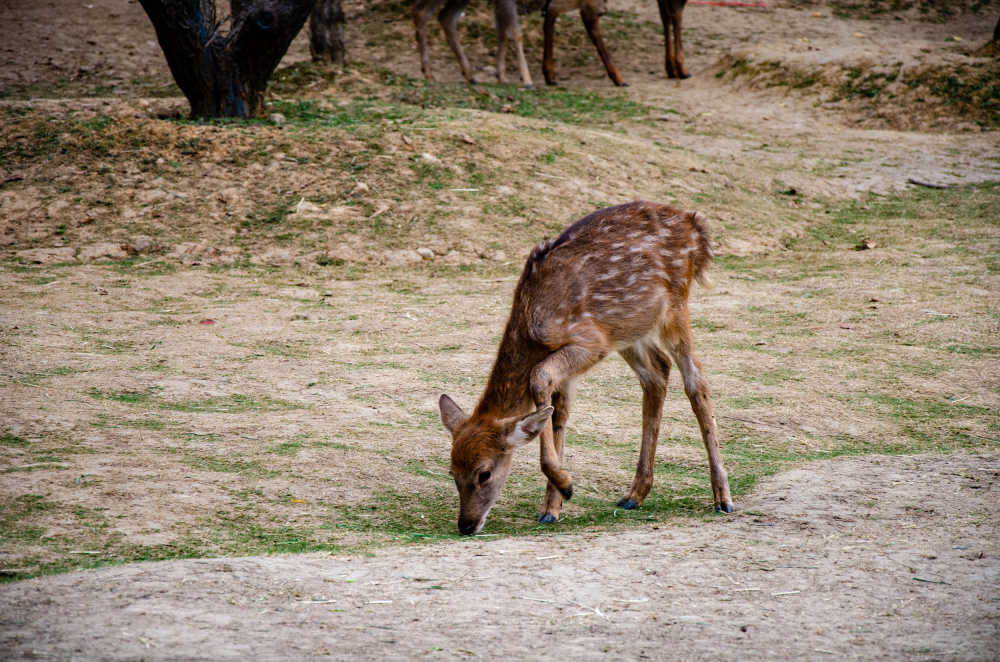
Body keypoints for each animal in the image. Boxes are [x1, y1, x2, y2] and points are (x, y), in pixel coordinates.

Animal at [413, 0, 691, 89]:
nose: (606, 10)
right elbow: (514, 32)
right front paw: (527, 79)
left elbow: (505, 31)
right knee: (425, 14)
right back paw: (428, 71)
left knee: (443, 17)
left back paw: (466, 74)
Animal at [439, 200, 733, 535]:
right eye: (452, 471)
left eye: (484, 472)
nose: (466, 524)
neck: (534, 325)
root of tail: (696, 227)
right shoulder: (572, 363)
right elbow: (557, 413)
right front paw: (552, 506)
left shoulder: (590, 342)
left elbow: (537, 378)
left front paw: (566, 486)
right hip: (629, 328)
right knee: (657, 371)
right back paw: (634, 494)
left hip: (674, 305)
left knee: (696, 380)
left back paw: (722, 497)